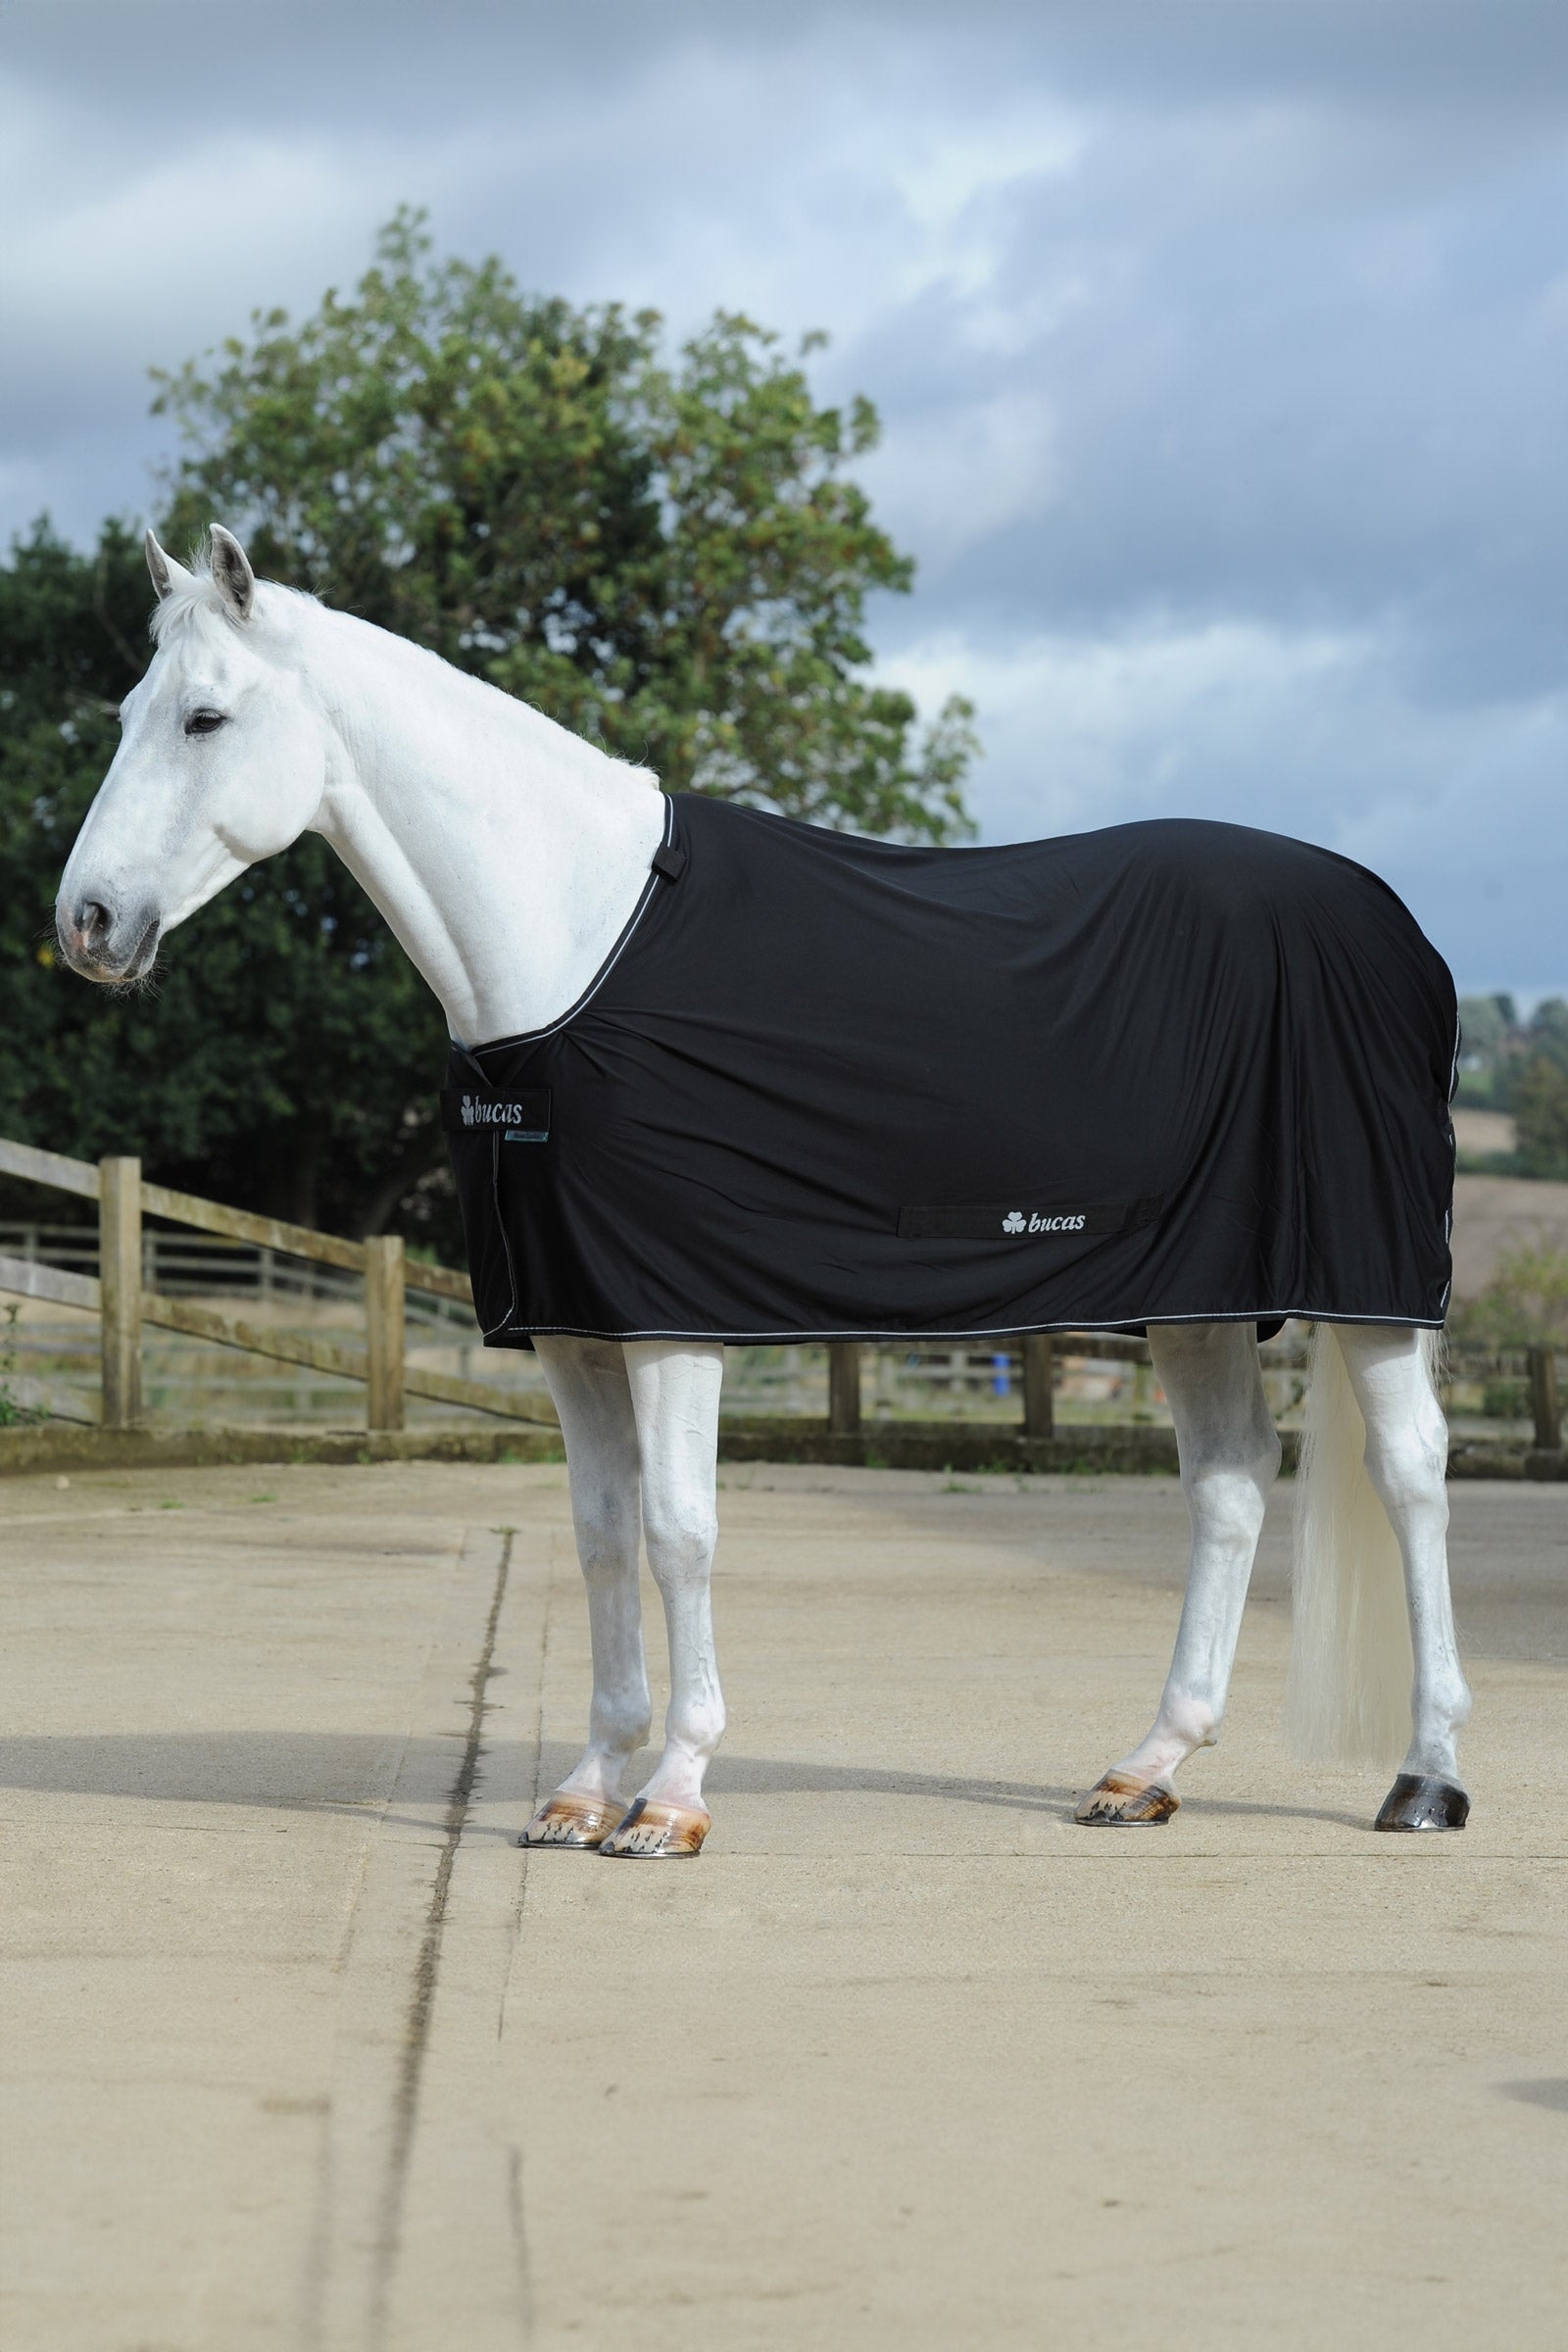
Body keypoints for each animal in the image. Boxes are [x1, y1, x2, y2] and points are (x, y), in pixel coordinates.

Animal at [55, 525, 1472, 1856]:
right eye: (125, 713)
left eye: (204, 716)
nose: (86, 924)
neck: (580, 941)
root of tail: (1394, 924)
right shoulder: (573, 1327)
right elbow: (600, 1532)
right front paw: (584, 1790)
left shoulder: (671, 1320)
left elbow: (680, 1532)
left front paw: (672, 1799)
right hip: (1195, 1296)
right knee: (1229, 1481)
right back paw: (1146, 1770)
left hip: (1368, 1290)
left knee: (1410, 1472)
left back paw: (1427, 1778)